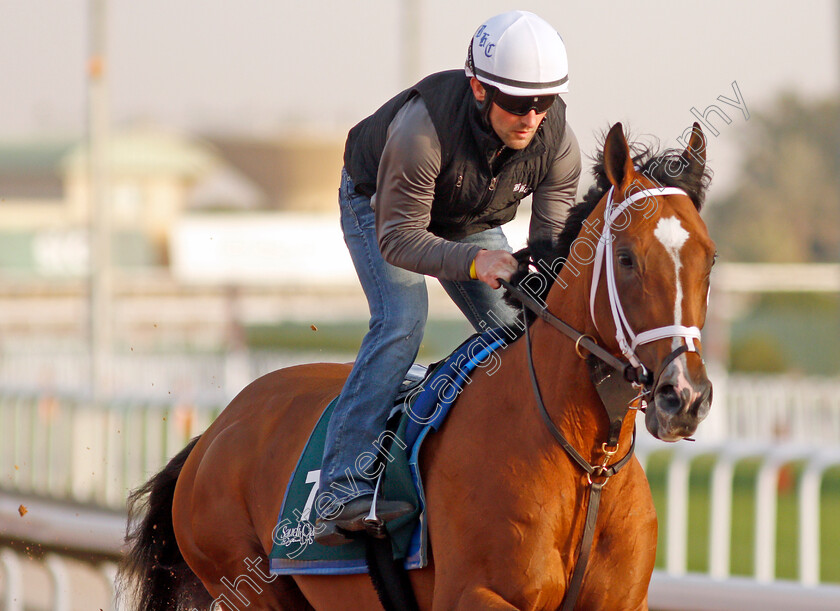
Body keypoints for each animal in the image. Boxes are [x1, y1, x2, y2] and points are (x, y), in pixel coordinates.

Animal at [120, 122, 716, 608]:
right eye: (627, 258)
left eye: (709, 258)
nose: (684, 397)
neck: (587, 462)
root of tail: (216, 430)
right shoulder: (477, 595)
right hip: (246, 581)